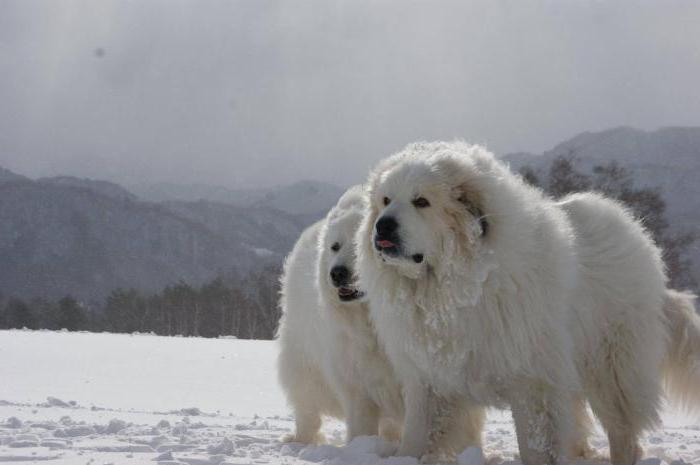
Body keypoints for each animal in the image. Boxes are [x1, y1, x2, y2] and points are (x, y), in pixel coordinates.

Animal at [358, 140, 696, 464]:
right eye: (385, 201)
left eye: (421, 202)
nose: (383, 225)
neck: (452, 289)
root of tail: (635, 230)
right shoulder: (430, 378)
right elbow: (417, 435)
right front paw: (405, 458)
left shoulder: (533, 382)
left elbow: (535, 444)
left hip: (610, 368)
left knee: (622, 431)